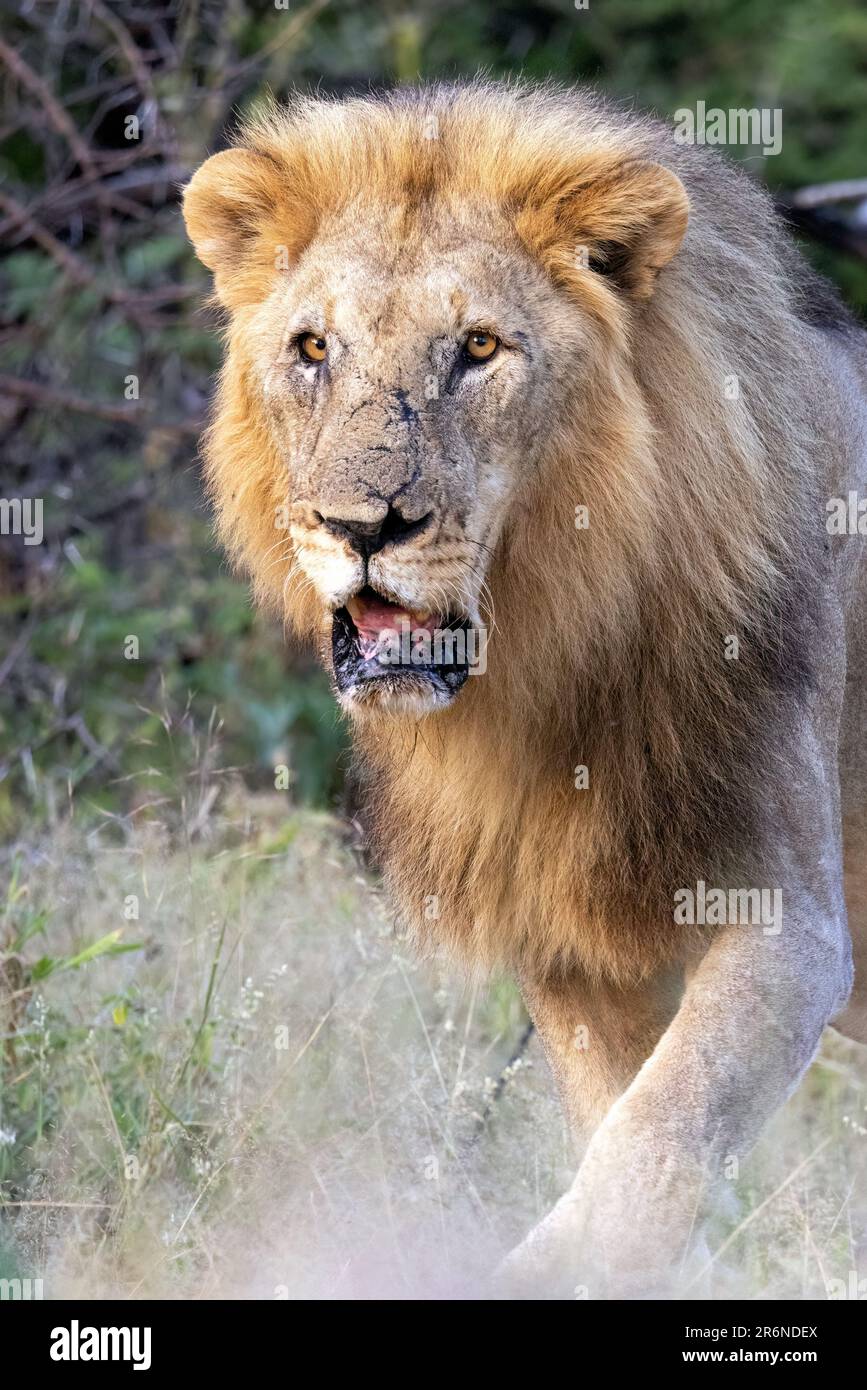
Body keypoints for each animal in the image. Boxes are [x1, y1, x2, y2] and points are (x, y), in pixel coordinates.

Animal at [184, 79, 867, 1297]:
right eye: (313, 348)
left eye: (479, 348)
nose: (361, 527)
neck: (560, 658)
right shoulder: (568, 941)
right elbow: (629, 1138)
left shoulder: (789, 926)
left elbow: (654, 1137)